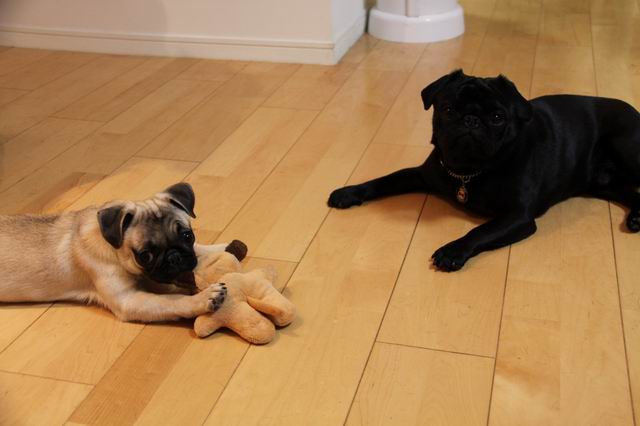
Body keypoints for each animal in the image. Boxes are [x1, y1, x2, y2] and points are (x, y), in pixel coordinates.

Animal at [0, 182, 247, 322]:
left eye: (188, 235)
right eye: (145, 255)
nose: (175, 258)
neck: (113, 247)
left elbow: (200, 250)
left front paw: (226, 247)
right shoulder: (130, 300)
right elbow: (172, 300)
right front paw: (204, 298)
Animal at [328, 69, 640, 271]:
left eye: (497, 117)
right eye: (448, 110)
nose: (470, 120)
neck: (470, 171)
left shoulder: (517, 217)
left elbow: (479, 231)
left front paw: (452, 251)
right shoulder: (420, 174)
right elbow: (385, 180)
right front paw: (349, 192)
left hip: (626, 147)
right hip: (603, 183)